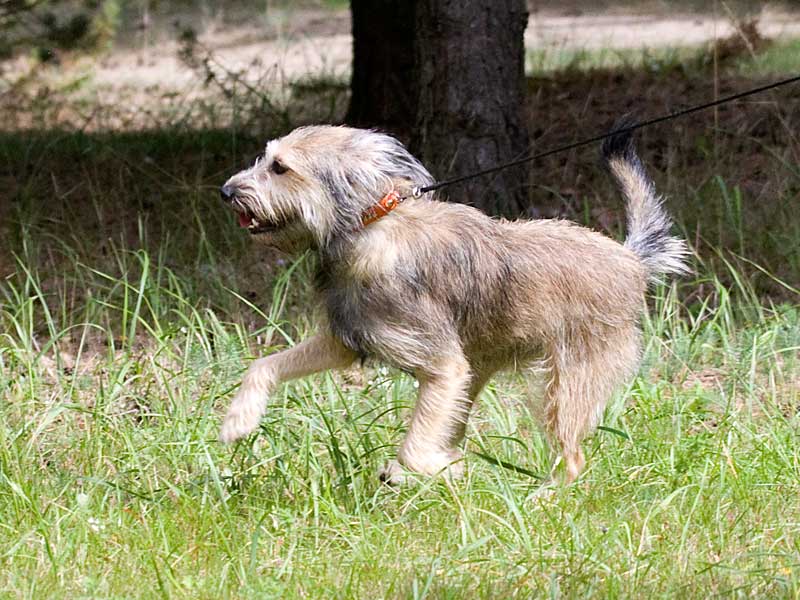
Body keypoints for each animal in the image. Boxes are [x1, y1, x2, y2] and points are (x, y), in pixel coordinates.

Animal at [217, 124, 687, 484]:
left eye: (280, 167)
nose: (225, 191)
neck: (368, 226)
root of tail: (629, 261)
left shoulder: (444, 368)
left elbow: (413, 450)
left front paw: (442, 470)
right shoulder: (346, 341)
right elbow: (264, 365)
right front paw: (239, 419)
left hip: (564, 389)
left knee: (572, 458)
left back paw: (543, 496)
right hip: (478, 377)